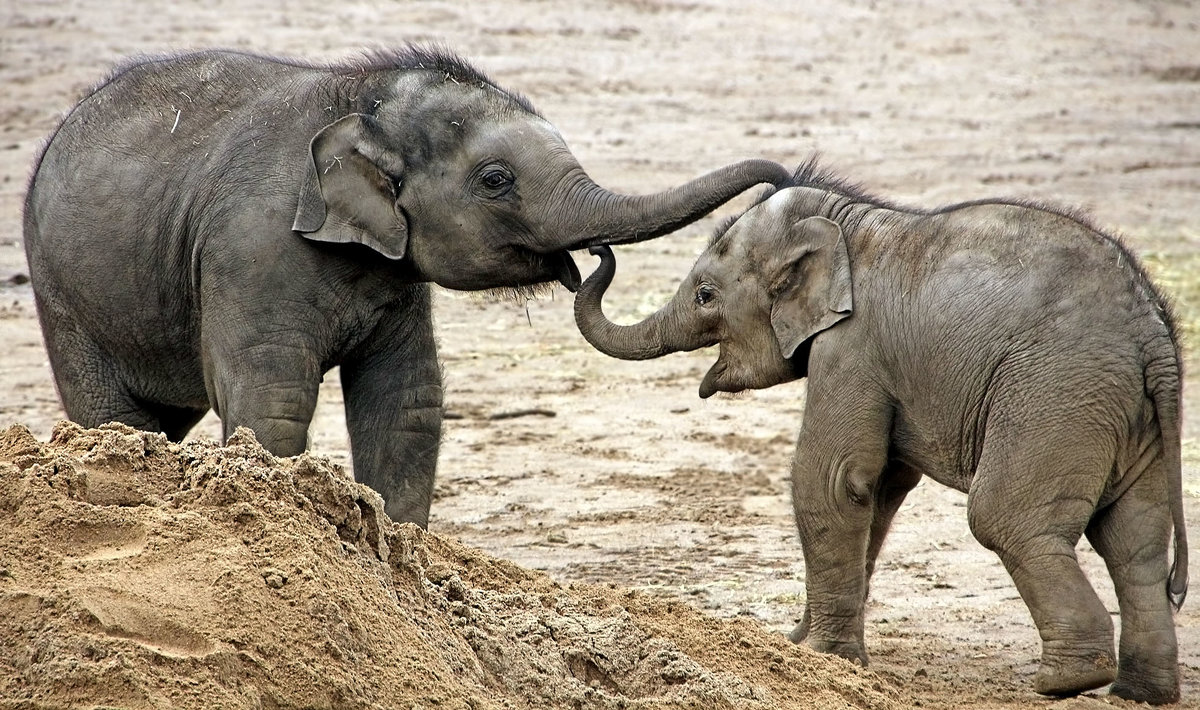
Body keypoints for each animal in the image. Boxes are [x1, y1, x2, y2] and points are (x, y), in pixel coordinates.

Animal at [23, 47, 787, 527]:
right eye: (495, 180)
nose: (781, 175)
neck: (365, 99)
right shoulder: (249, 254)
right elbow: (274, 401)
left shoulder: (395, 280)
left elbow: (408, 401)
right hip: (63, 298)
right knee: (113, 412)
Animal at [573, 159, 1190, 705]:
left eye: (705, 295)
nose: (594, 251)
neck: (847, 223)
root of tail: (1151, 333)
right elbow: (881, 488)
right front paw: (803, 649)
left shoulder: (853, 345)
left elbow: (833, 479)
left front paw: (822, 654)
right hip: (1127, 415)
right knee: (1134, 544)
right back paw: (1140, 693)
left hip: (1056, 394)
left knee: (1006, 520)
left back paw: (1068, 682)